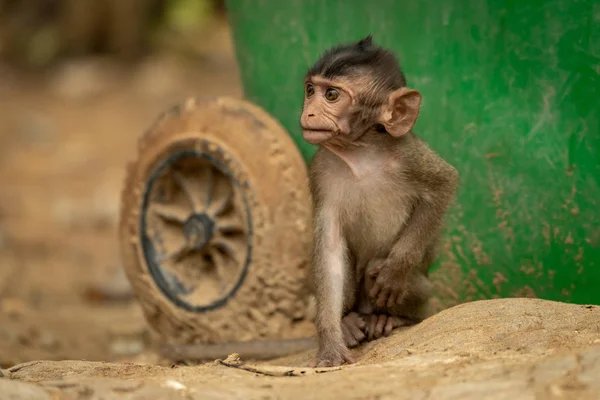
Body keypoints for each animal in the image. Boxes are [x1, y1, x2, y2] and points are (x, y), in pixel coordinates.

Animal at [302, 36, 458, 368]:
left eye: (331, 95)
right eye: (310, 90)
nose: (308, 113)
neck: (359, 152)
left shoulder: (408, 155)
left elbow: (444, 184)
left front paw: (393, 272)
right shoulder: (320, 169)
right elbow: (331, 249)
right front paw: (331, 343)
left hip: (424, 290)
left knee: (378, 271)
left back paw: (393, 318)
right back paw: (349, 321)